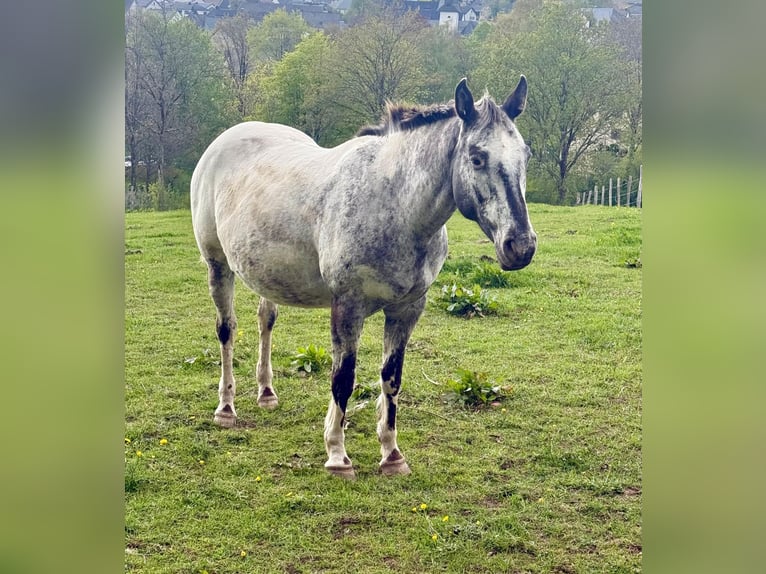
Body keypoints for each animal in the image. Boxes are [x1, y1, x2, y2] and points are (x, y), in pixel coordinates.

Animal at [190, 77, 536, 479]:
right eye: (477, 157)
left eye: (525, 155)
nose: (521, 246)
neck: (394, 205)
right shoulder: (347, 305)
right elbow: (343, 380)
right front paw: (337, 455)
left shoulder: (407, 308)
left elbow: (391, 378)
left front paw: (391, 454)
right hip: (217, 265)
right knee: (226, 330)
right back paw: (226, 408)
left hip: (267, 276)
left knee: (266, 321)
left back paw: (266, 393)